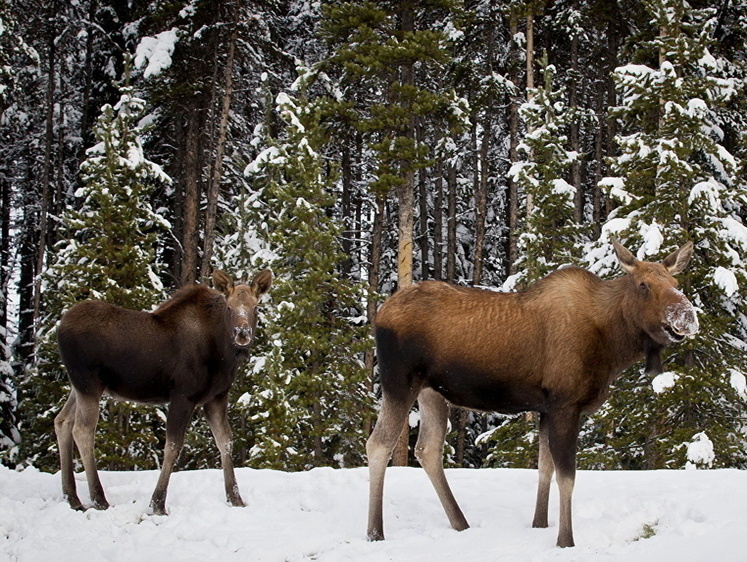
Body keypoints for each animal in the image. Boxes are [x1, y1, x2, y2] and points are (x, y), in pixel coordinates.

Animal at [54, 270, 272, 516]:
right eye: (229, 307)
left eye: (256, 307)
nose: (242, 333)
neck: (223, 354)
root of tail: (60, 326)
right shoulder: (183, 395)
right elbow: (172, 446)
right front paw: (157, 504)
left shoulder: (216, 397)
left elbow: (225, 441)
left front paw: (235, 498)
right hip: (89, 384)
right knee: (82, 430)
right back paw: (99, 499)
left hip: (78, 386)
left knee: (62, 421)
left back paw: (72, 498)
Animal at [368, 238, 700, 544]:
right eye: (644, 285)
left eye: (676, 283)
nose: (687, 316)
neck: (612, 345)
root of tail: (379, 314)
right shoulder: (565, 404)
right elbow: (567, 476)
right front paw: (565, 540)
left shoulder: (545, 409)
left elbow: (545, 468)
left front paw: (539, 524)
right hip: (399, 381)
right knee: (379, 444)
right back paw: (375, 531)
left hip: (433, 392)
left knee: (428, 449)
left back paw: (460, 523)